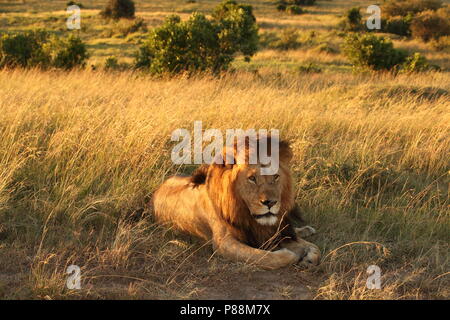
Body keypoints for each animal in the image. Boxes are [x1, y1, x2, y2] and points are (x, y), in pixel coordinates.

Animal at [153, 136, 322, 270]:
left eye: (275, 177)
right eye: (252, 178)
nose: (270, 203)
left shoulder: (269, 231)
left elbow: (315, 249)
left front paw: (308, 254)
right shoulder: (223, 243)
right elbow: (263, 257)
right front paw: (291, 254)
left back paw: (306, 230)